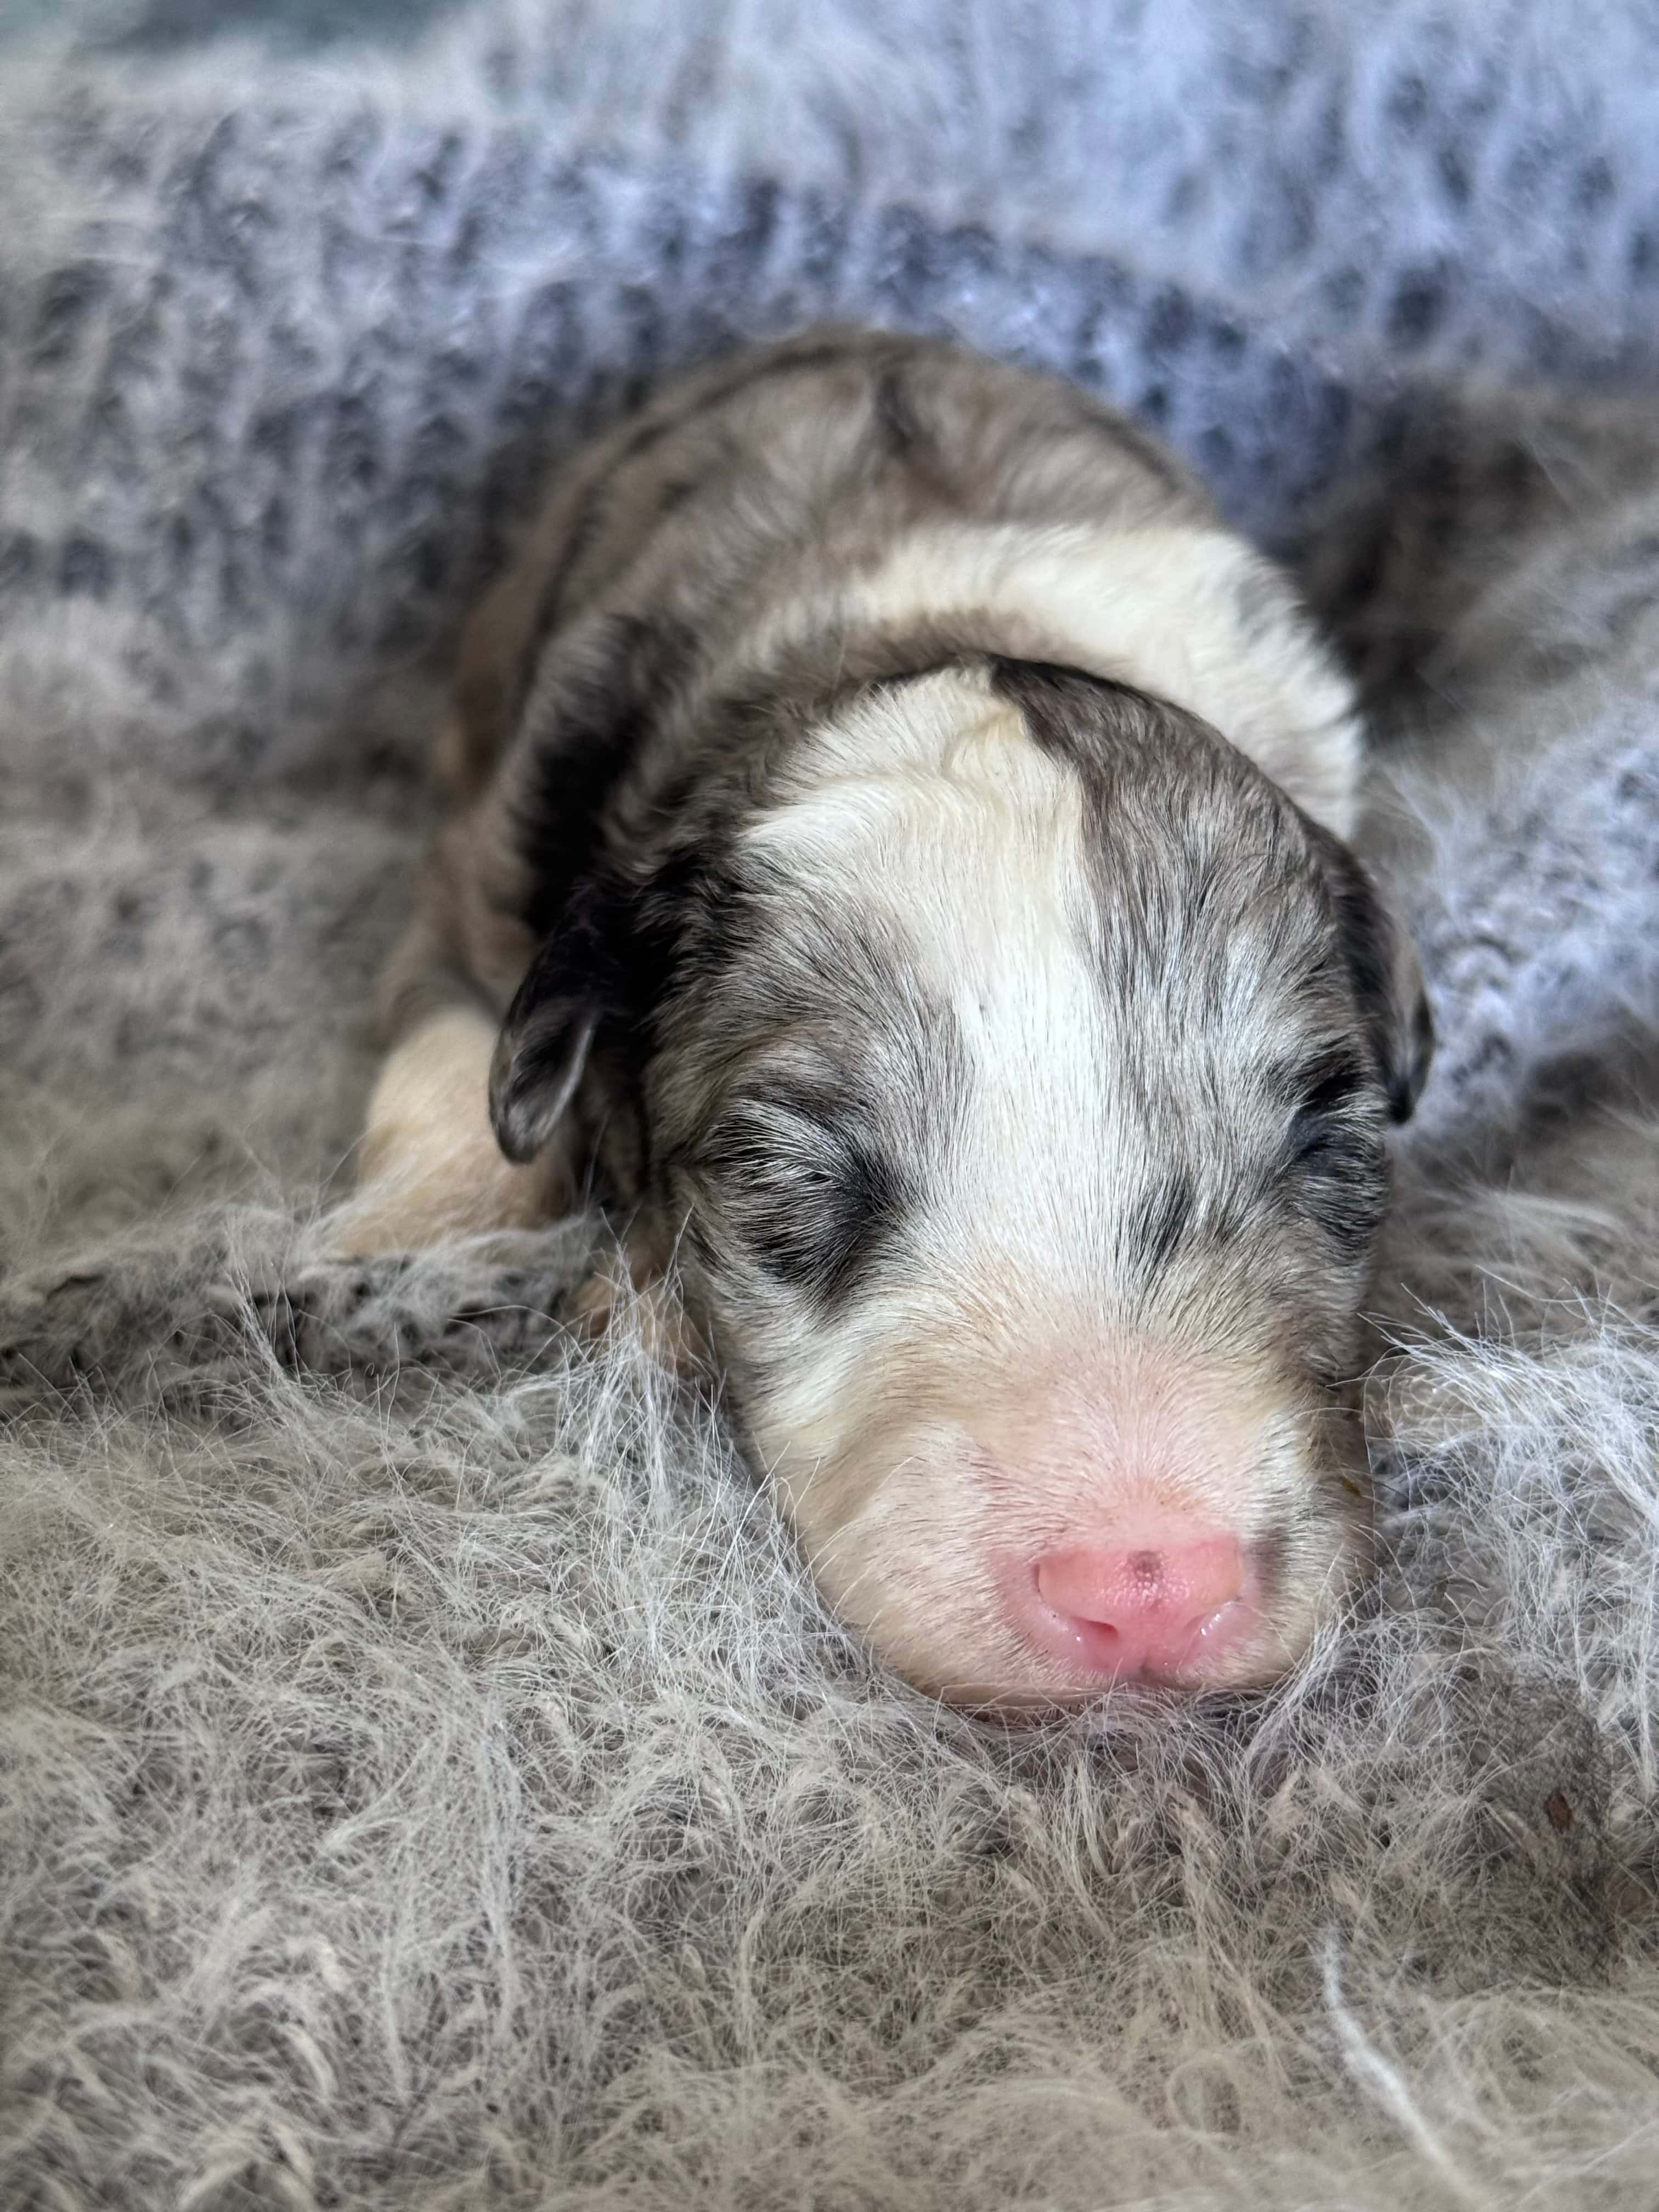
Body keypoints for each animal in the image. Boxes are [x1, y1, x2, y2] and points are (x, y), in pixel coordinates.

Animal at [345, 323, 1433, 1707]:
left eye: (1322, 1143)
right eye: (789, 1176)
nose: (1145, 1583)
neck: (940, 620)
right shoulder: (493, 867)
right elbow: (458, 1060)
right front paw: (407, 1243)